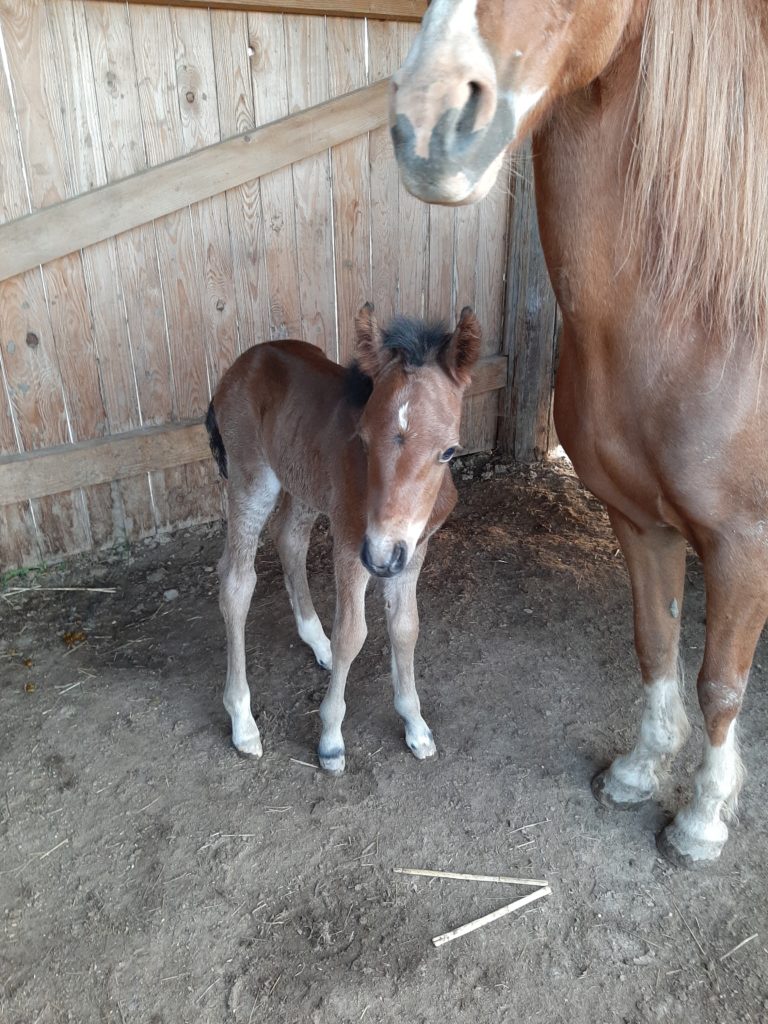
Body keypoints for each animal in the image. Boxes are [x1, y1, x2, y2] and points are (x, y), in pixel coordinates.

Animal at [204, 307, 481, 770]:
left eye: (448, 451)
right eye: (363, 439)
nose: (382, 557)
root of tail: (240, 364)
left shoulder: (414, 549)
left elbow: (405, 627)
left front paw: (415, 726)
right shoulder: (353, 545)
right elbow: (352, 634)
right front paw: (331, 739)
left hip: (303, 480)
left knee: (289, 539)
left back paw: (317, 643)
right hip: (251, 479)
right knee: (236, 583)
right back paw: (243, 722)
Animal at [393, 0, 768, 864]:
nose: (427, 124)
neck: (702, 313)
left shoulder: (743, 543)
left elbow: (721, 683)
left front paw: (703, 817)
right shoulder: (637, 520)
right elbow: (655, 644)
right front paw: (638, 770)